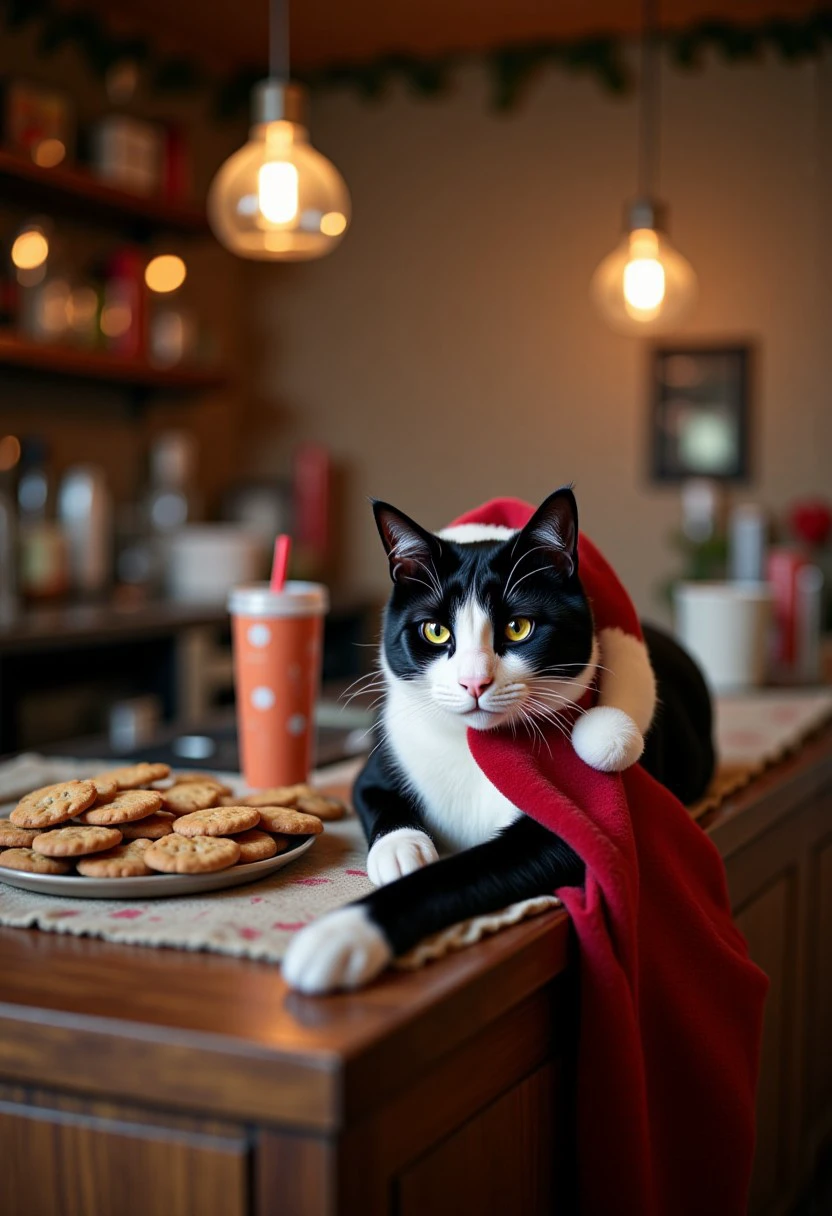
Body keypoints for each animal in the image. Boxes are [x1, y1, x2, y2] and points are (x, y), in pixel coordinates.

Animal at [282, 488, 710, 992]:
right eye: (435, 630)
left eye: (518, 627)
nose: (474, 682)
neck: (474, 747)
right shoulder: (379, 763)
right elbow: (376, 797)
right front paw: (403, 850)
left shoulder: (581, 824)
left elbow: (452, 876)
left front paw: (342, 933)